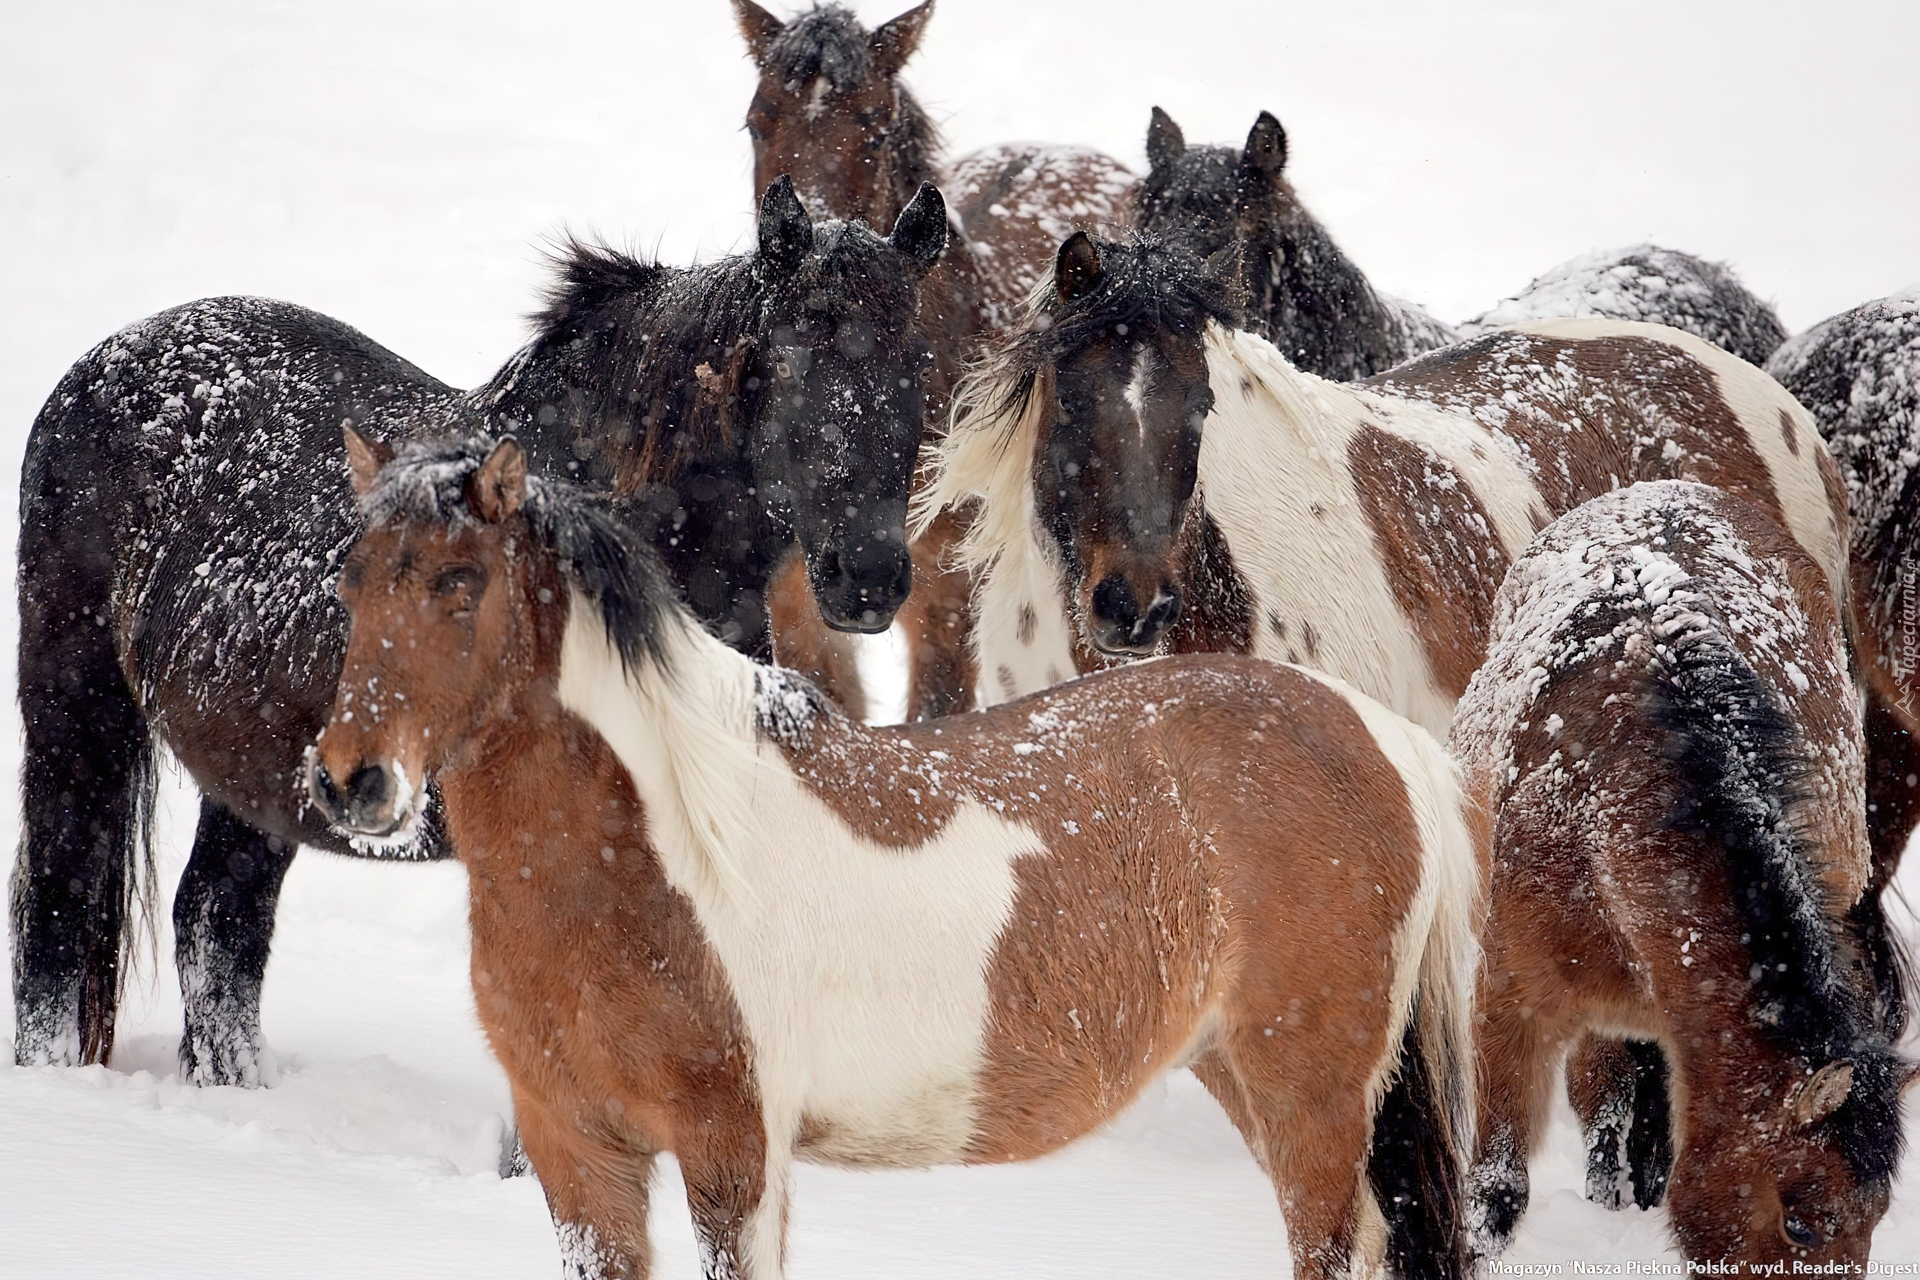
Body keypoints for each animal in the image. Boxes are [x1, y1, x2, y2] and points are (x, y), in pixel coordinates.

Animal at [13, 175, 944, 1090]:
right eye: (790, 360)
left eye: (917, 364)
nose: (868, 577)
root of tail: (100, 365)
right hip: (76, 716)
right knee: (61, 907)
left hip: (253, 771)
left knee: (216, 920)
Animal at [318, 429, 1482, 1280]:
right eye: (351, 580)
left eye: (459, 582)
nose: (350, 782)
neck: (655, 857)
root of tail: (1390, 742)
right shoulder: (578, 1155)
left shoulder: (735, 1155)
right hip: (1239, 1067)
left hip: (1310, 1090)